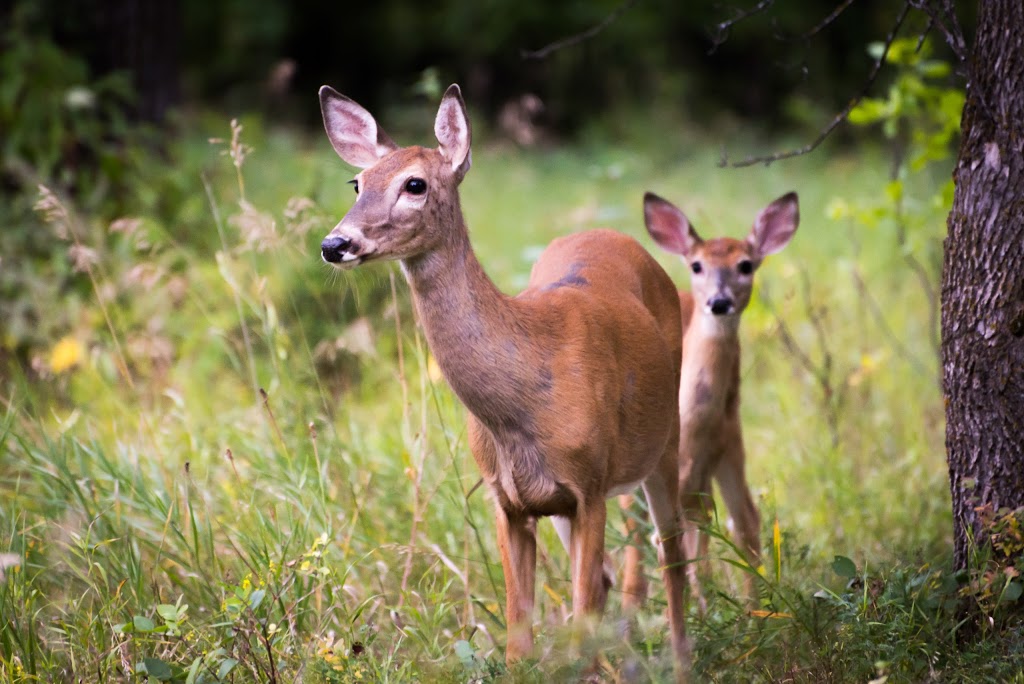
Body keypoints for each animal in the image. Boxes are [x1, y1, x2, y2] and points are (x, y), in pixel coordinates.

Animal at [315, 83, 692, 679]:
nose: (335, 244)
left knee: (670, 550)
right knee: (613, 577)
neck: (522, 407)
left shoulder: (591, 485)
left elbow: (584, 621)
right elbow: (519, 637)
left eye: (415, 184)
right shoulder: (506, 498)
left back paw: (682, 660)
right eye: (358, 182)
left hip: (664, 440)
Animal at [614, 189, 798, 610]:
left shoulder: (718, 448)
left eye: (745, 265)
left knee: (739, 520)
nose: (719, 301)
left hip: (728, 442)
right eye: (696, 265)